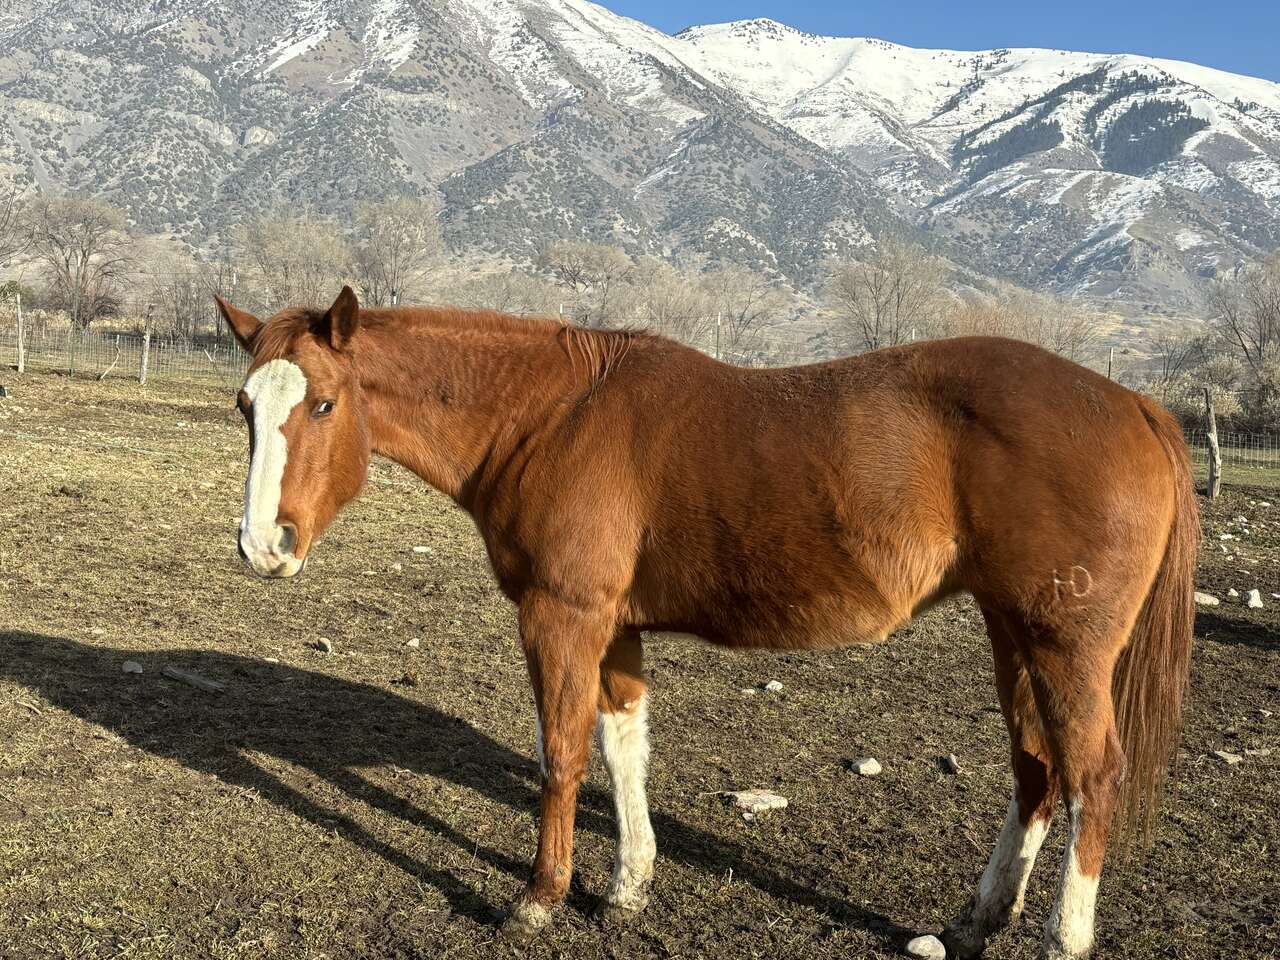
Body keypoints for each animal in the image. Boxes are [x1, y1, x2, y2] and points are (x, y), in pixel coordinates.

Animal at [214, 286, 1196, 959]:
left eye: (324, 404)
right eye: (246, 406)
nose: (264, 545)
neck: (552, 414)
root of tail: (1135, 405)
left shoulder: (561, 618)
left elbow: (561, 756)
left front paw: (540, 897)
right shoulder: (614, 628)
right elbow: (623, 749)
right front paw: (626, 886)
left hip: (1065, 649)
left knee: (1091, 776)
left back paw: (1064, 939)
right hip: (1012, 634)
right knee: (1037, 771)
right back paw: (977, 920)